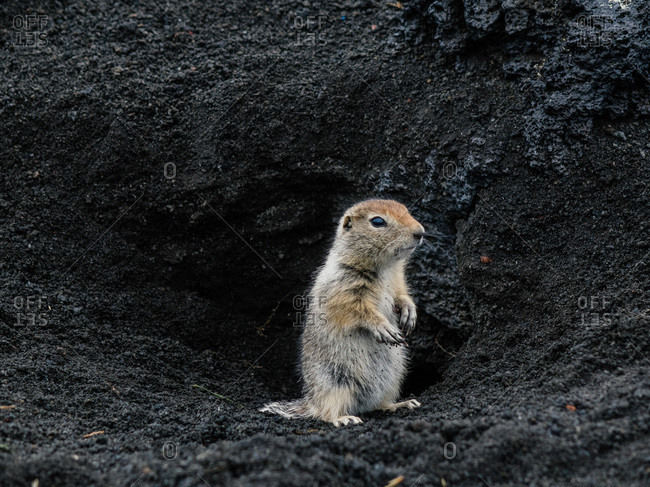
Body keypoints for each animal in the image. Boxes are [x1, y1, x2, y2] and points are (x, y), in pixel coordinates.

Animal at [261, 199, 425, 426]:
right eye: (377, 221)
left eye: (406, 210)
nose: (420, 232)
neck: (385, 267)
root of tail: (311, 401)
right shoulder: (344, 290)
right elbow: (358, 311)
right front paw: (383, 327)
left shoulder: (398, 282)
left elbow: (402, 296)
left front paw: (410, 313)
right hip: (335, 382)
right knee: (325, 412)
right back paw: (344, 418)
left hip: (393, 379)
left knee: (377, 405)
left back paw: (401, 404)